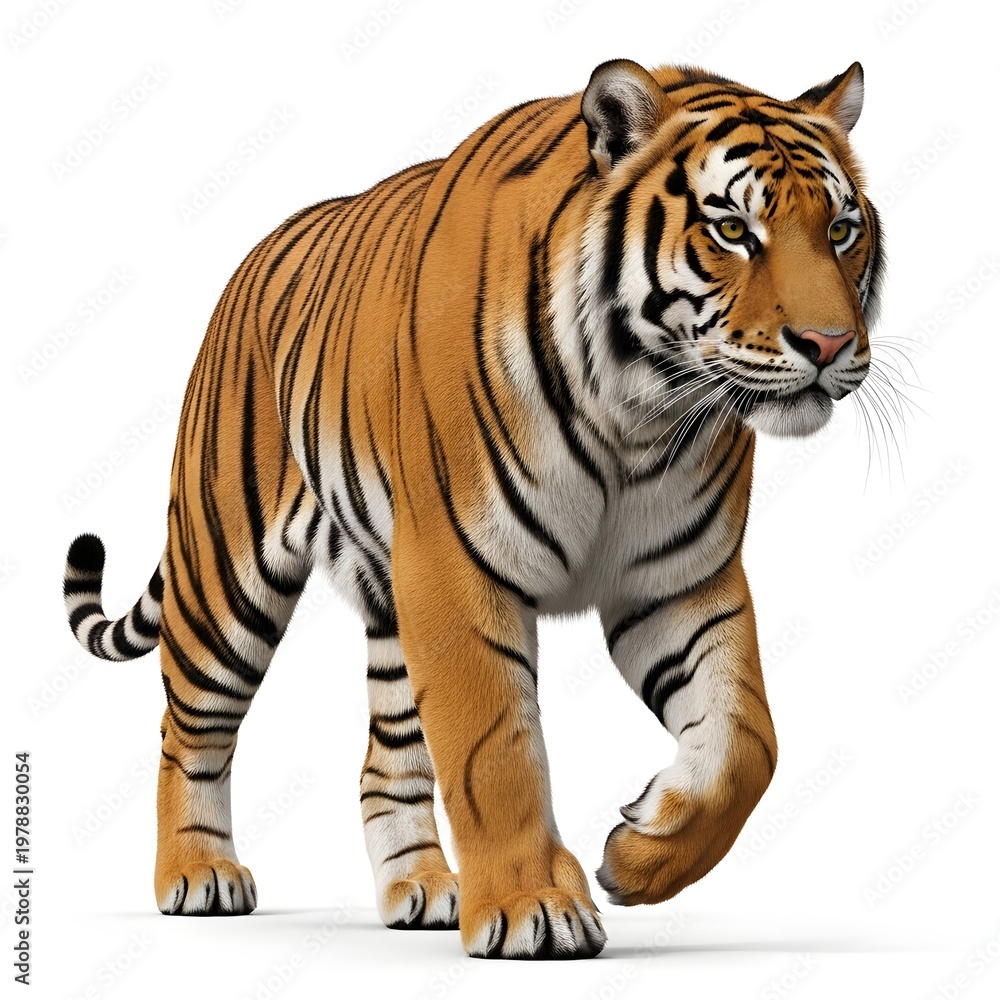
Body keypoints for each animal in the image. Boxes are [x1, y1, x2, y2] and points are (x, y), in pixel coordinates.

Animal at [63, 58, 884, 959]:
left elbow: (747, 741)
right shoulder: (457, 572)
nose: (830, 346)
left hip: (390, 604)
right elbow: (495, 750)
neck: (642, 411)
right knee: (190, 729)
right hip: (226, 570)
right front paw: (533, 908)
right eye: (734, 229)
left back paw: (423, 889)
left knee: (383, 761)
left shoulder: (680, 582)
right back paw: (198, 875)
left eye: (842, 229)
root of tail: (259, 250)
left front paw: (638, 855)